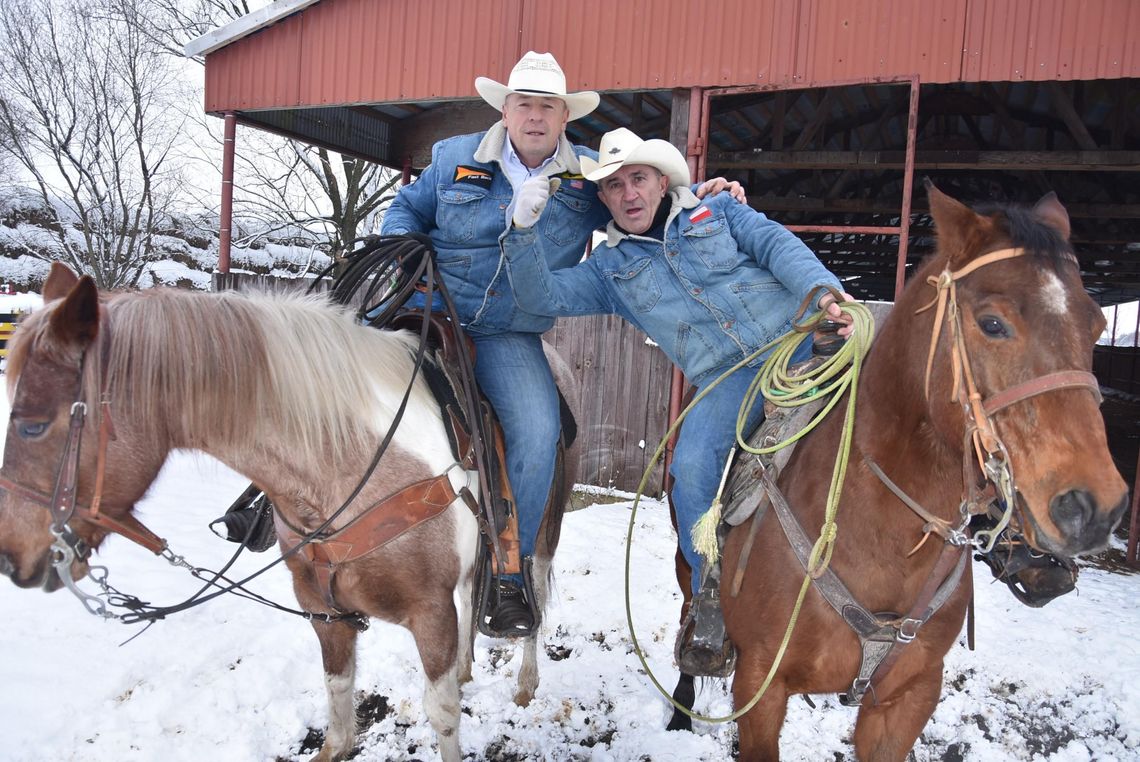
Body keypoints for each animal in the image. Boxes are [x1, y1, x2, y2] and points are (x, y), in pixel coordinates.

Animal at [0, 263, 579, 762]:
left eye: (32, 424)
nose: (11, 558)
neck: (342, 464)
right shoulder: (324, 613)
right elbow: (339, 708)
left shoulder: (429, 613)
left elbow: (441, 715)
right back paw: (465, 669)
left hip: (544, 530)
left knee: (533, 586)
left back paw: (526, 680)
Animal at [665, 185, 1121, 762]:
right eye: (992, 323)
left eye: (1097, 324)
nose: (1094, 508)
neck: (880, 537)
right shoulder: (760, 688)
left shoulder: (909, 696)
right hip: (688, 562)